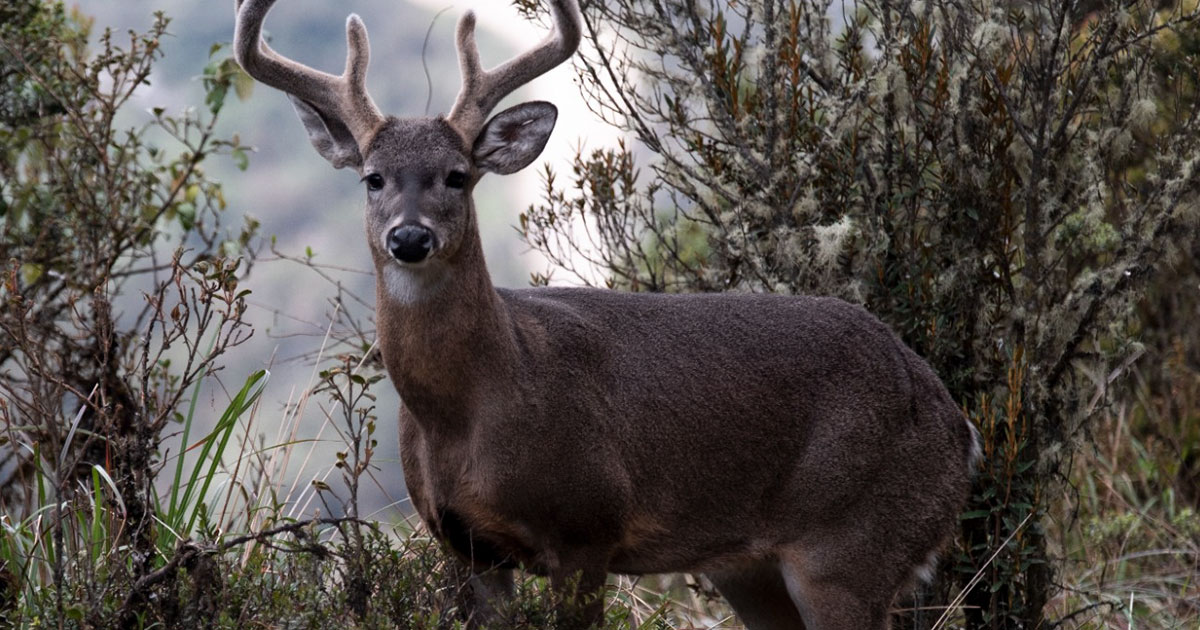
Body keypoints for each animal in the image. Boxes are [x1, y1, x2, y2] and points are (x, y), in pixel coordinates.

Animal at [234, 1, 984, 624]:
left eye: (457, 176)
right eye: (372, 178)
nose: (410, 237)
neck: (475, 404)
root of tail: (958, 427)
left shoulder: (587, 525)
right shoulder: (465, 546)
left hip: (851, 546)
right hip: (753, 569)